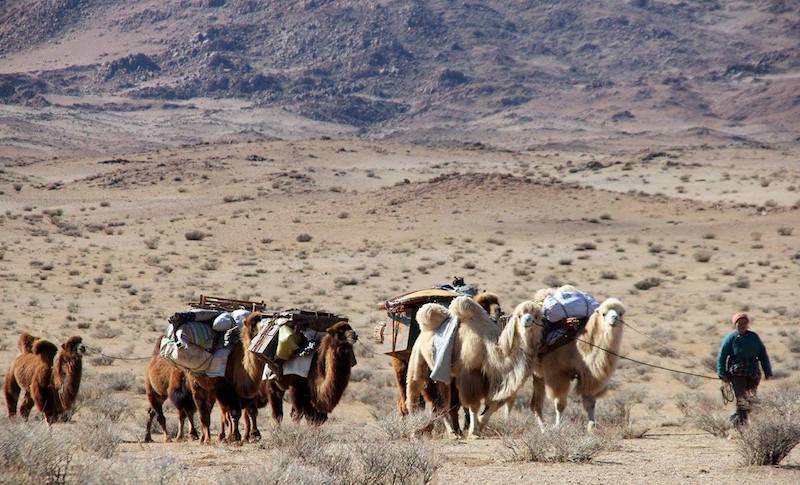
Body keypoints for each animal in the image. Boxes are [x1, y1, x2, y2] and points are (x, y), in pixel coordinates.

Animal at [406, 294, 544, 438]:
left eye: (537, 316)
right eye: (519, 315)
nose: (527, 321)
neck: (488, 347)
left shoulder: (489, 379)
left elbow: (495, 403)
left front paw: (481, 424)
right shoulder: (471, 373)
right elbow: (473, 405)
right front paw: (473, 432)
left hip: (444, 375)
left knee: (440, 403)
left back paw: (452, 432)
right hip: (419, 361)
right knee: (421, 395)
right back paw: (426, 431)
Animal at [528, 296, 628, 430]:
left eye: (620, 313)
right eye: (603, 313)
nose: (614, 319)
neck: (579, 348)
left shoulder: (588, 377)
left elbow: (590, 403)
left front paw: (592, 426)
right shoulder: (557, 373)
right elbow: (560, 404)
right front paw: (558, 426)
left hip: (538, 374)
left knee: (535, 404)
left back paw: (543, 428)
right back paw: (544, 429)